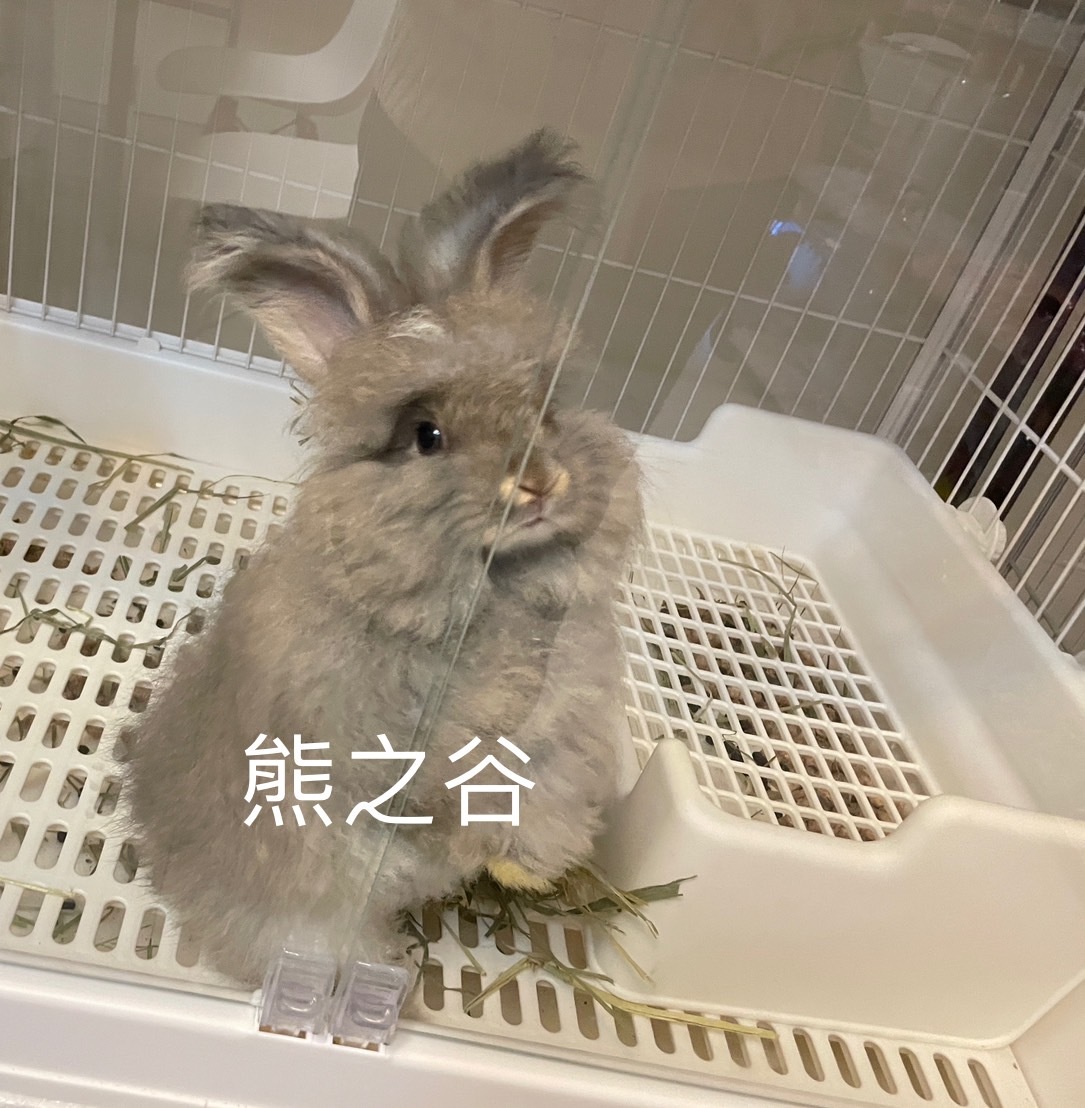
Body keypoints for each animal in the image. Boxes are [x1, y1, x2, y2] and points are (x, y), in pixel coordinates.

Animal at [120, 130, 644, 989]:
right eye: (426, 435)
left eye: (545, 408)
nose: (537, 484)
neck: (488, 589)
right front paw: (475, 854)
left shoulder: (562, 742)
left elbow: (542, 807)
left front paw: (522, 870)